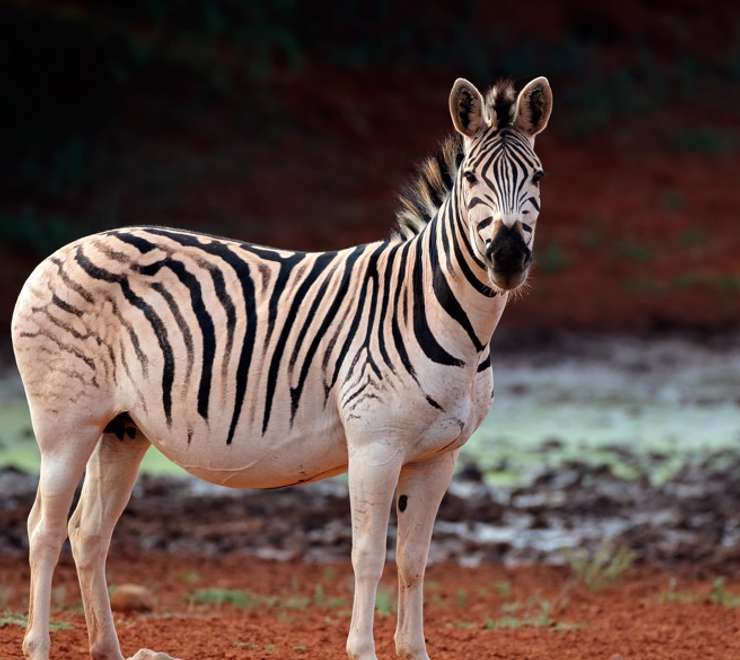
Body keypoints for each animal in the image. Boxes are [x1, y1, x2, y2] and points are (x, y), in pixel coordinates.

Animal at [11, 75, 552, 660]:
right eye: (471, 177)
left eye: (538, 176)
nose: (507, 257)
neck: (445, 315)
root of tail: (59, 253)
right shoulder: (375, 445)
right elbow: (368, 555)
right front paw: (361, 650)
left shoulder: (437, 458)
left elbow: (414, 560)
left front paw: (413, 650)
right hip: (66, 426)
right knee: (43, 527)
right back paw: (37, 645)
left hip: (122, 428)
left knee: (88, 531)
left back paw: (107, 648)